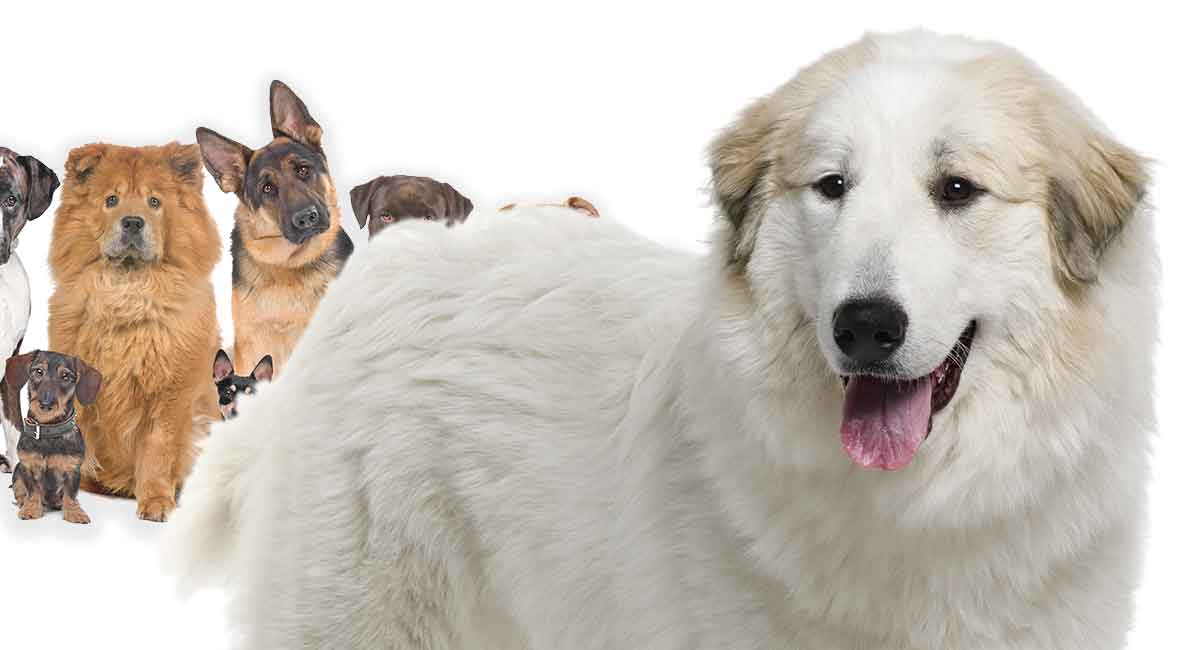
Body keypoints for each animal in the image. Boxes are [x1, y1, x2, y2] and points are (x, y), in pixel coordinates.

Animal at [5, 352, 102, 525]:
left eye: (66, 377)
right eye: (38, 371)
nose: (45, 405)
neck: (49, 432)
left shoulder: (72, 470)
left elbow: (70, 493)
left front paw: (74, 512)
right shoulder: (28, 466)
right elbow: (33, 490)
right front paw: (31, 508)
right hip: (17, 471)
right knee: (19, 489)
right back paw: (23, 502)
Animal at [48, 141, 223, 525]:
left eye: (154, 202)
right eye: (111, 200)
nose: (132, 222)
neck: (126, 292)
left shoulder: (170, 393)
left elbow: (158, 449)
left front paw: (156, 502)